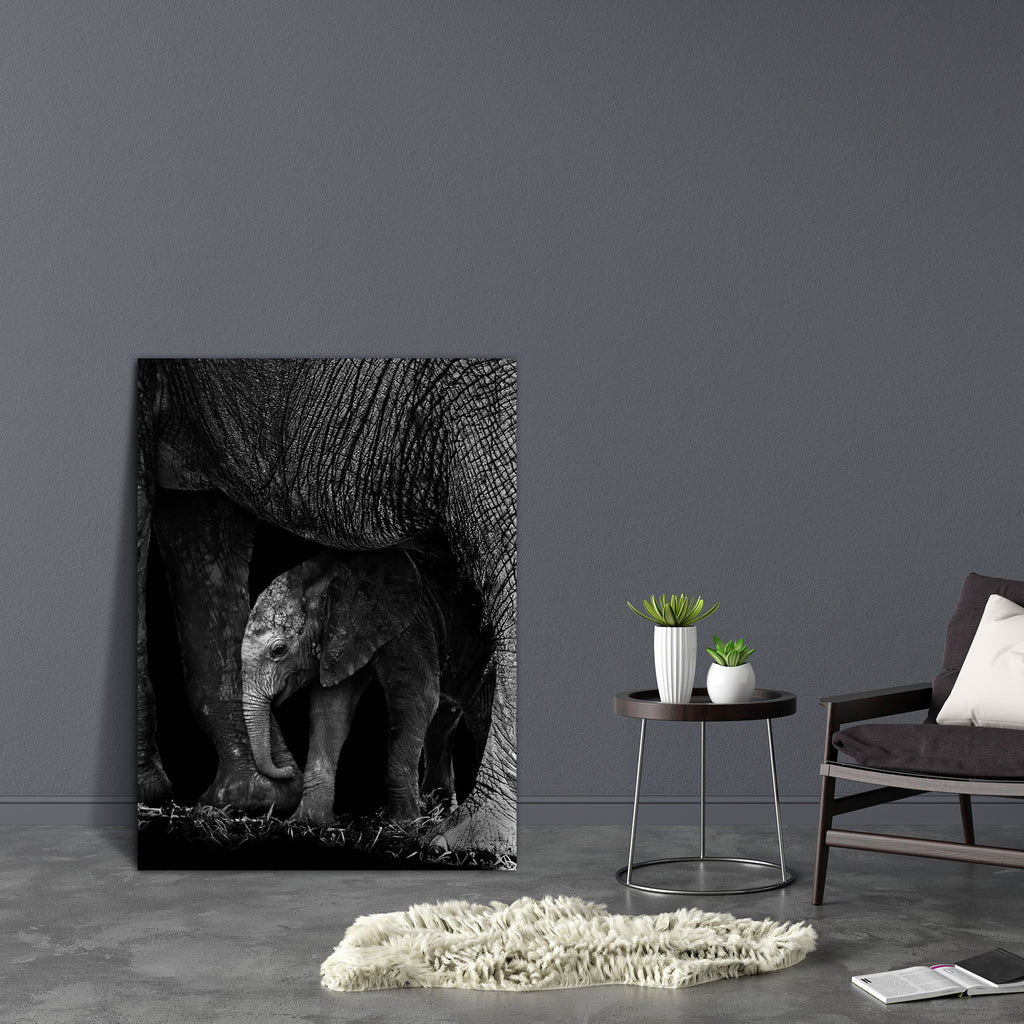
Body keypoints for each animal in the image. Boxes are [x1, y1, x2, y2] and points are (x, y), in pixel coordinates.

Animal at [240, 545, 494, 825]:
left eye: (279, 650)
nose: (286, 769)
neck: (331, 576)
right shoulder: (341, 639)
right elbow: (330, 710)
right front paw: (309, 820)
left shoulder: (412, 625)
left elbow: (417, 699)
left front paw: (401, 823)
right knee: (446, 720)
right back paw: (440, 811)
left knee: (478, 715)